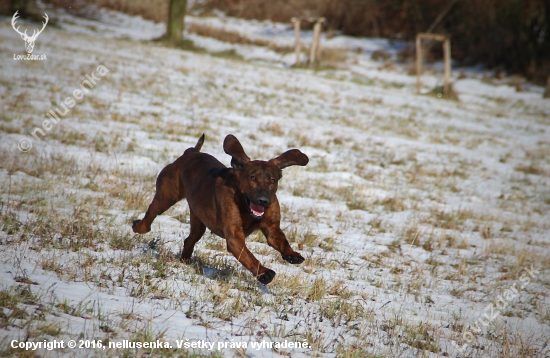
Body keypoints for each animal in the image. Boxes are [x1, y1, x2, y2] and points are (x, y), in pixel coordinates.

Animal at [132, 133, 308, 284]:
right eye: (252, 177)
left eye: (272, 180)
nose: (263, 200)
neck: (245, 206)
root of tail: (190, 152)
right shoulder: (234, 237)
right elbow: (248, 256)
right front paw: (264, 272)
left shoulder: (271, 227)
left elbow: (280, 240)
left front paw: (292, 254)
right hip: (166, 196)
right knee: (151, 213)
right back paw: (138, 226)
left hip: (198, 218)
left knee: (190, 239)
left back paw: (184, 262)